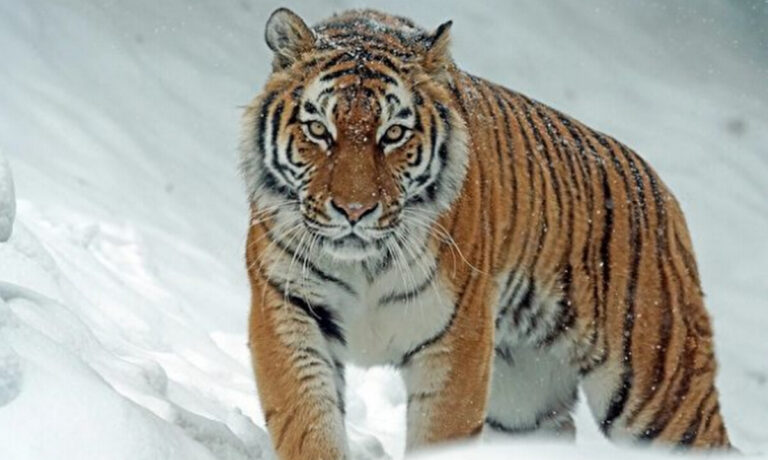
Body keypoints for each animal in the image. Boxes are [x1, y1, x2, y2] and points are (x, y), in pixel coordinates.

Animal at [240, 8, 732, 459]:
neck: (365, 264)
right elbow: (308, 423)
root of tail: (664, 195)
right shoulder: (288, 309)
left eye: (393, 133)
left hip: (659, 392)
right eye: (318, 130)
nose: (354, 210)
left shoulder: (457, 339)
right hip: (524, 401)